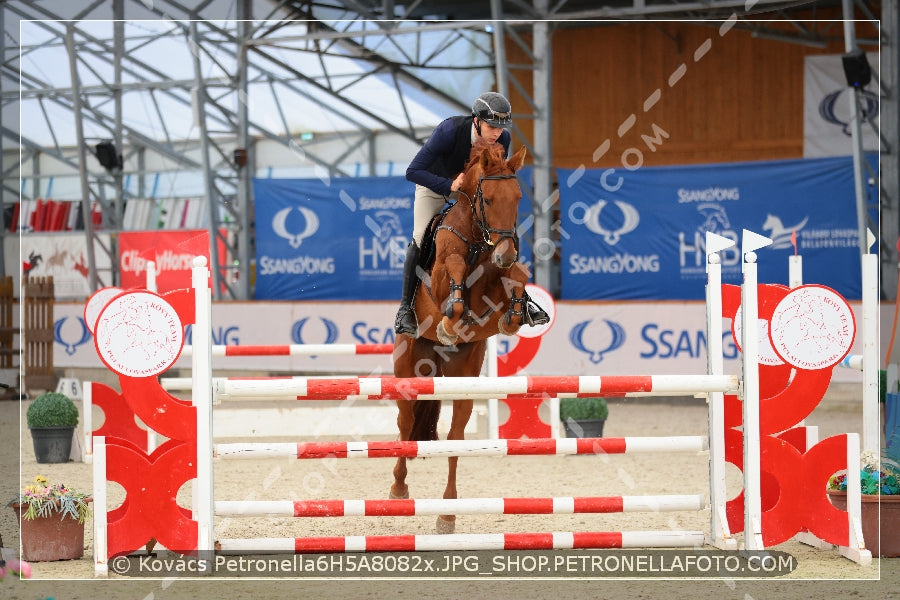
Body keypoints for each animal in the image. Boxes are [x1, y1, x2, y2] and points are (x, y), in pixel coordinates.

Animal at [390, 138, 532, 532]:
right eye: (489, 200)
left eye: (518, 197)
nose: (504, 253)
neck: (478, 239)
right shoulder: (441, 277)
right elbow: (452, 273)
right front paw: (448, 323)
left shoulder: (494, 284)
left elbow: (519, 275)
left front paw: (515, 315)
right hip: (408, 369)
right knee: (406, 424)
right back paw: (398, 489)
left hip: (465, 376)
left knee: (455, 438)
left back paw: (448, 514)